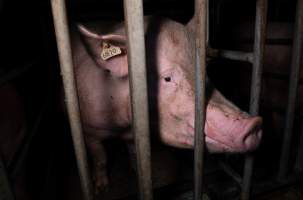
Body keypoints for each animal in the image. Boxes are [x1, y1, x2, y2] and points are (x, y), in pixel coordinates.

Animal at [69, 16, 264, 195]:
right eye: (167, 78)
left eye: (204, 71)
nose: (254, 123)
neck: (121, 125)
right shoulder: (89, 130)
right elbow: (100, 157)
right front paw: (101, 189)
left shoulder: (131, 134)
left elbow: (134, 153)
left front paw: (137, 173)